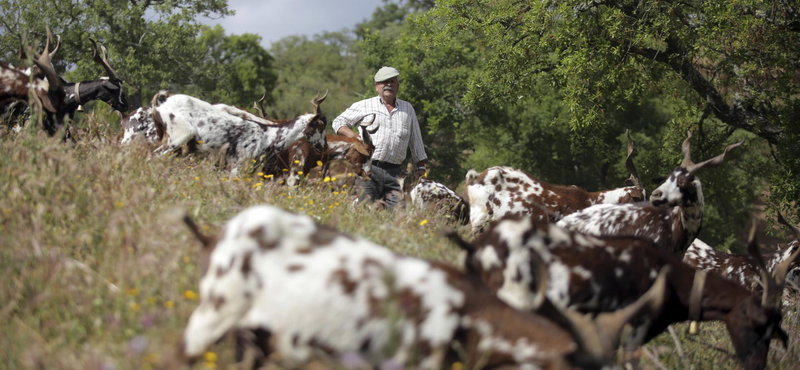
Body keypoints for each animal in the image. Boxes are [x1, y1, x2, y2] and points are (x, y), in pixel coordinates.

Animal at [153, 92, 328, 173]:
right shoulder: (237, 164)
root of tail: (161, 104)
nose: (325, 147)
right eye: (320, 126)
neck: (267, 135)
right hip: (180, 138)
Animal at [446, 214, 796, 370]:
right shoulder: (636, 324)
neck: (674, 279)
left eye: (775, 331)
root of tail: (480, 247)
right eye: (756, 323)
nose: (757, 364)